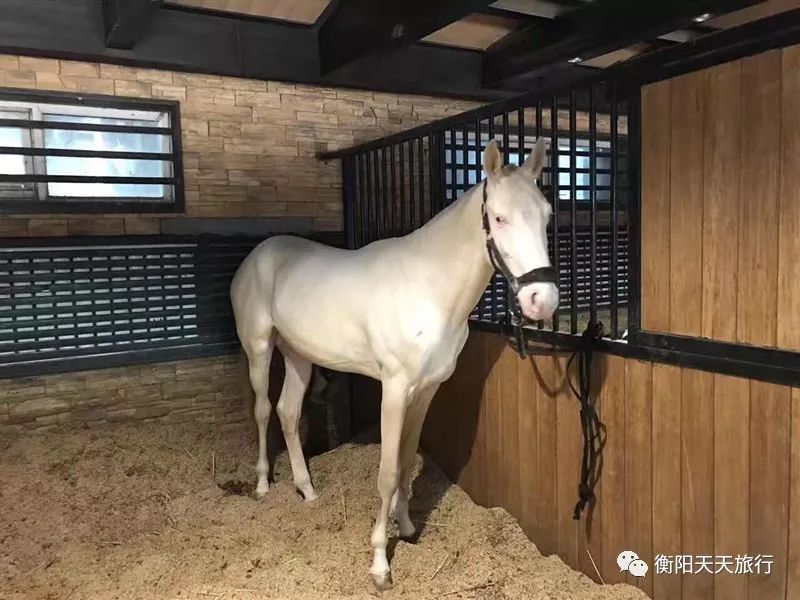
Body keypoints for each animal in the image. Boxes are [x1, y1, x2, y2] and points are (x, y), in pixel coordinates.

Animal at [230, 137, 556, 592]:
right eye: (499, 217)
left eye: (547, 215)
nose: (542, 300)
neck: (427, 289)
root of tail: (257, 255)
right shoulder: (395, 389)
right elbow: (386, 473)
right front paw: (380, 563)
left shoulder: (425, 391)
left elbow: (404, 463)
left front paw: (408, 528)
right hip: (260, 348)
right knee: (263, 410)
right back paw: (262, 484)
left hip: (299, 356)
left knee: (288, 412)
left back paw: (307, 490)